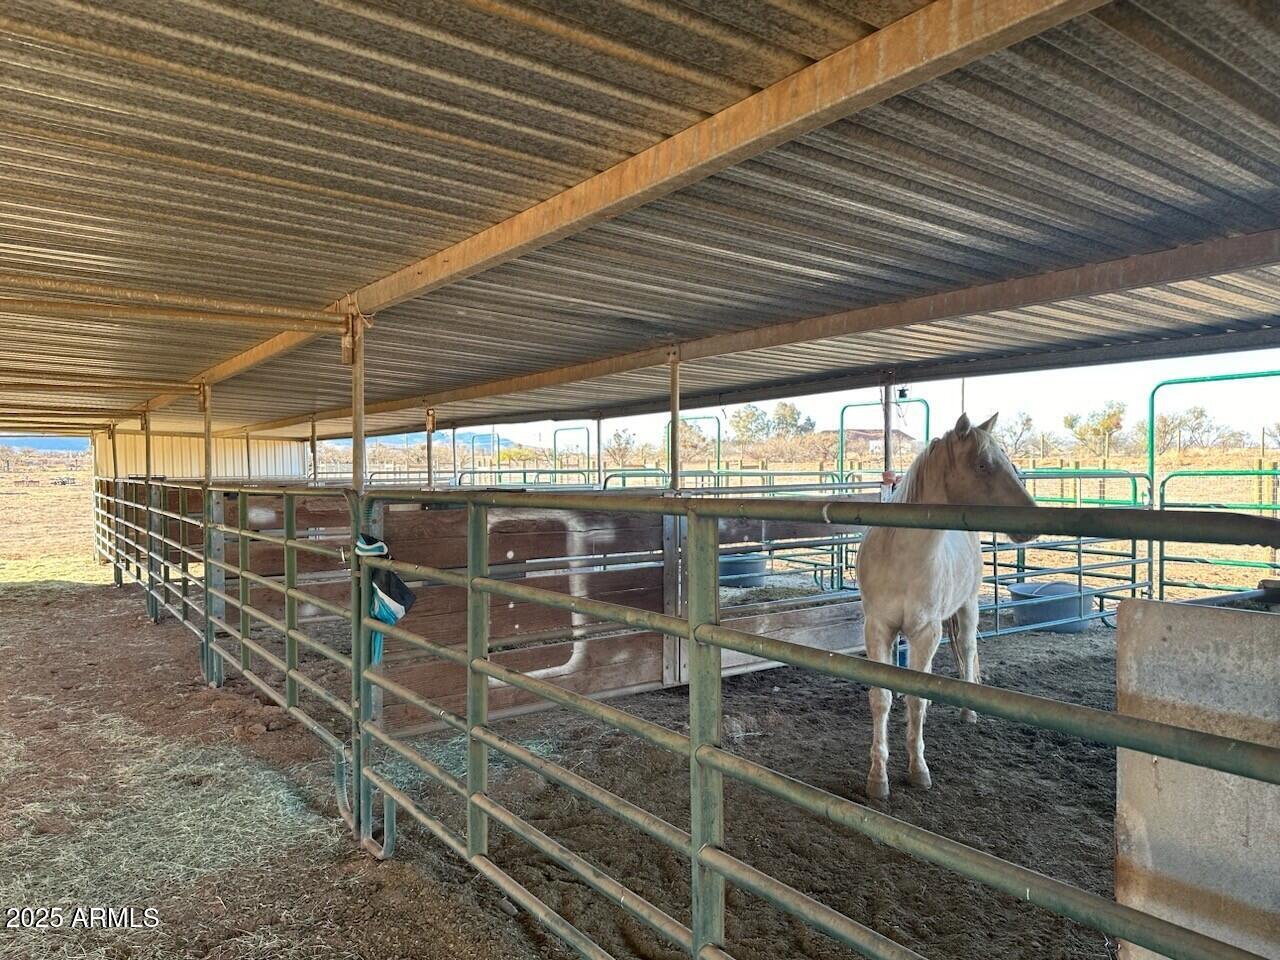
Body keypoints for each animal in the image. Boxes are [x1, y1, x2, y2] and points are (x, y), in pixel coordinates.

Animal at [855, 412, 1037, 799]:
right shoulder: (877, 627)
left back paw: (968, 713)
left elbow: (918, 700)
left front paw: (918, 770)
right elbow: (881, 697)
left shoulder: (928, 632)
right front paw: (878, 777)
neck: (902, 556)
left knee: (967, 650)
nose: (1030, 523)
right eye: (983, 464)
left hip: (968, 608)